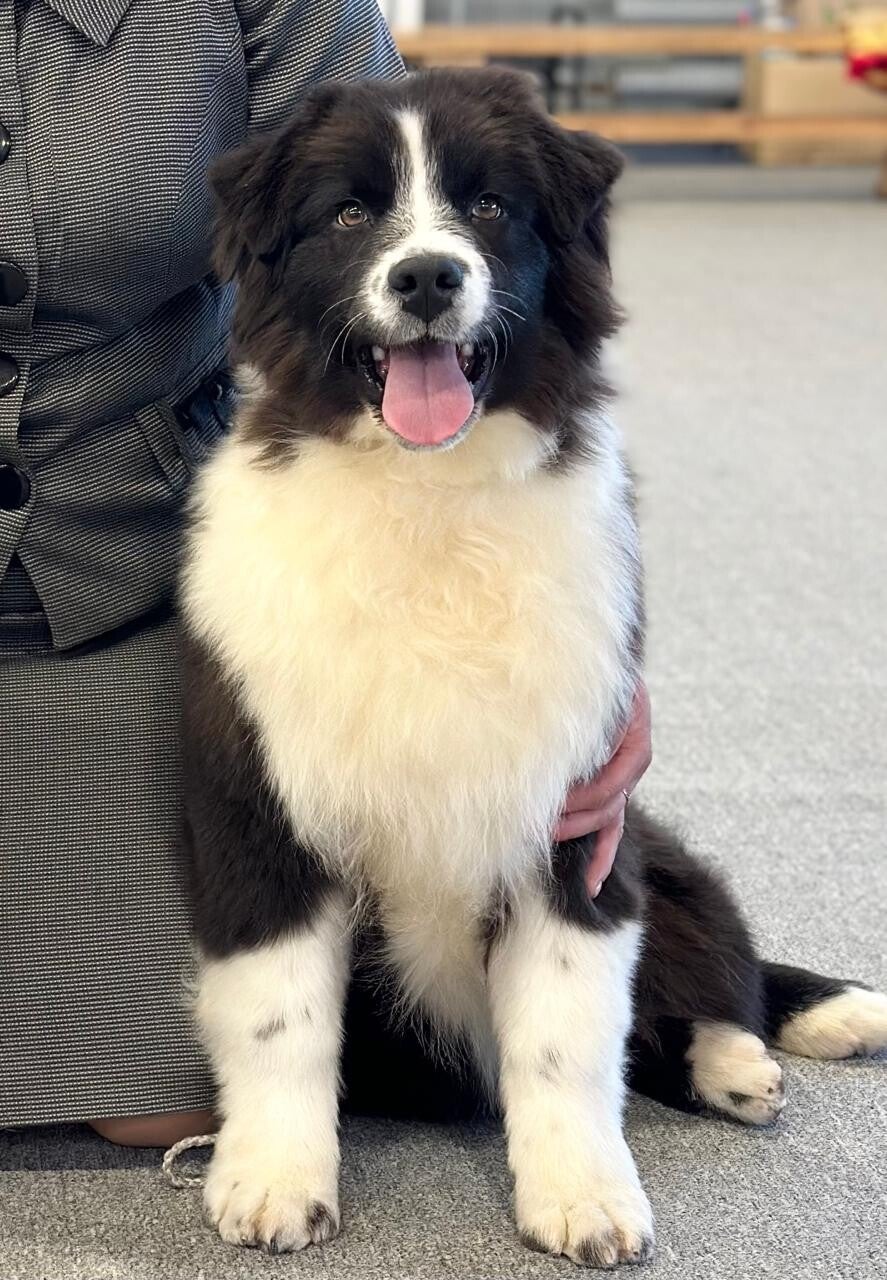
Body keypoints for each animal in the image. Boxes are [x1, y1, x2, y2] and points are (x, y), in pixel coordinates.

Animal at [179, 69, 887, 1266]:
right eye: (350, 213)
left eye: (489, 206)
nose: (427, 275)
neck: (424, 503)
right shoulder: (260, 807)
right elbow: (280, 1017)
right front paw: (273, 1181)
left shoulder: (574, 819)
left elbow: (565, 1031)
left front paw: (583, 1199)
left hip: (656, 843)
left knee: (713, 967)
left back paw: (772, 1041)